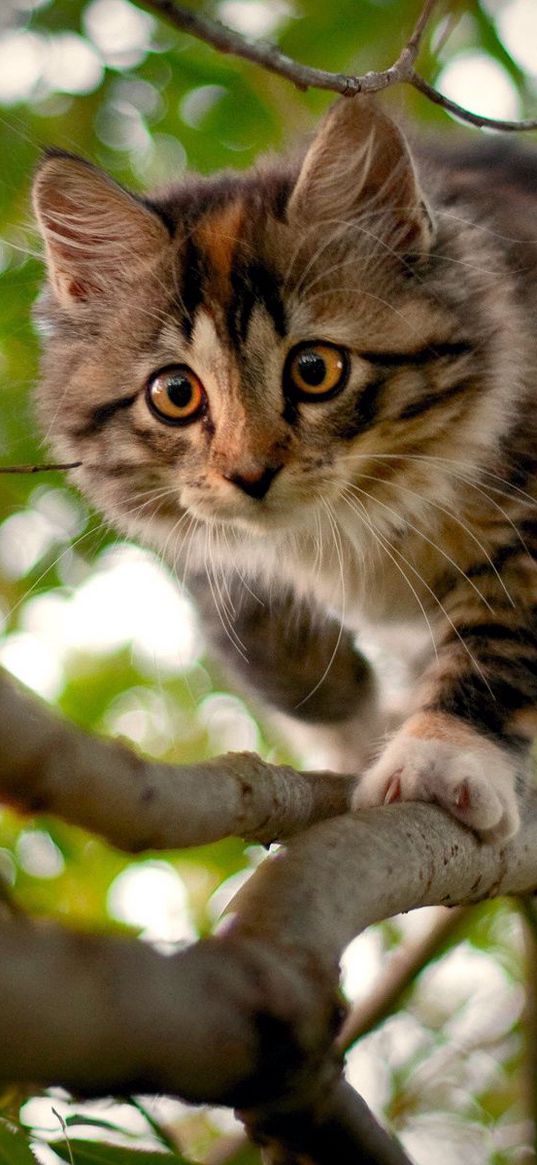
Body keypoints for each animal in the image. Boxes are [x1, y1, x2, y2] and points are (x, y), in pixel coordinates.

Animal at [31, 100, 535, 843]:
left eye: (314, 369)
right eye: (175, 393)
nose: (250, 473)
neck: (350, 521)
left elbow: (494, 644)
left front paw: (439, 756)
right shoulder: (217, 559)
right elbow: (285, 661)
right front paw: (356, 740)